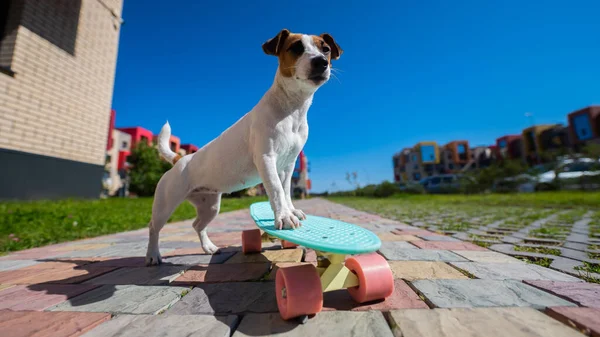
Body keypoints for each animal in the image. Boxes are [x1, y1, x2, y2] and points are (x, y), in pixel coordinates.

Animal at [146, 29, 342, 266]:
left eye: (326, 49)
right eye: (296, 47)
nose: (321, 61)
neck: (292, 108)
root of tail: (179, 160)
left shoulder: (288, 165)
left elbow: (286, 191)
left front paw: (291, 210)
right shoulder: (266, 158)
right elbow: (276, 190)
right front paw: (284, 217)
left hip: (210, 205)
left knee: (197, 225)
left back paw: (208, 247)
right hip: (166, 204)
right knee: (154, 227)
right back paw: (153, 255)